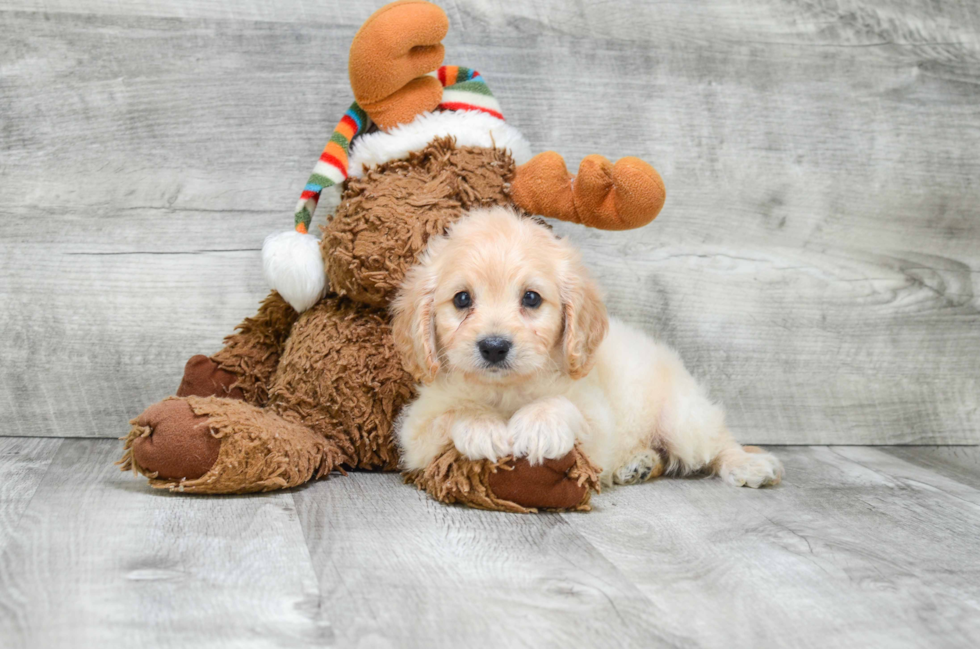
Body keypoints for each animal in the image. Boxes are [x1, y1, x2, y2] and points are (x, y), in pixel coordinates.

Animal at [390, 206, 780, 486]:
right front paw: (482, 427)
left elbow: (563, 406)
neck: (506, 389)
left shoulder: (596, 428)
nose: (495, 347)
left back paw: (749, 463)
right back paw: (639, 464)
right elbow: (452, 413)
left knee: (717, 442)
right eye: (462, 299)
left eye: (531, 298)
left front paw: (539, 425)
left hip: (683, 419)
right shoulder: (416, 435)